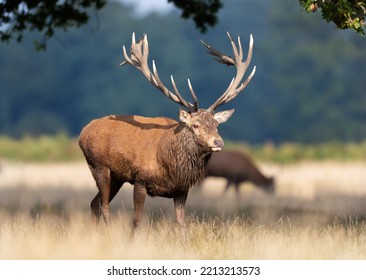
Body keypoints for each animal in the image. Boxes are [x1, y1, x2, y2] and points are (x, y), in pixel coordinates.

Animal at [78, 32, 256, 230]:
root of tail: (83, 132)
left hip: (117, 176)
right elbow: (136, 221)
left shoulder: (181, 190)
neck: (171, 166)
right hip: (98, 166)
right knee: (104, 205)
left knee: (94, 203)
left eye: (216, 124)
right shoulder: (140, 180)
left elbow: (181, 224)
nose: (218, 142)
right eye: (195, 125)